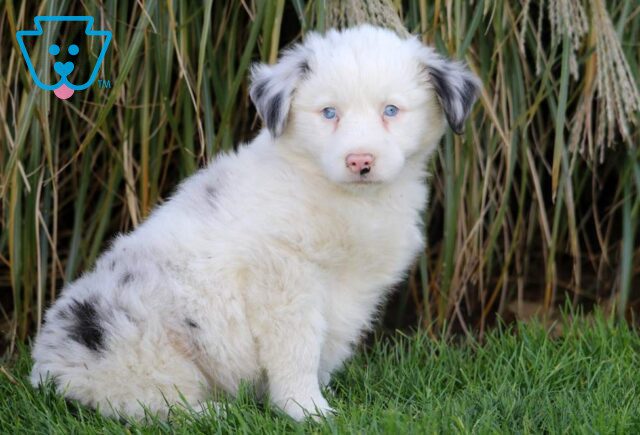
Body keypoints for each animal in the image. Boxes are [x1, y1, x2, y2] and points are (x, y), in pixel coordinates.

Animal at [31, 24, 480, 422]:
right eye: (328, 113)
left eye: (391, 111)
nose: (360, 161)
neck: (342, 194)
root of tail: (47, 371)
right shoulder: (284, 277)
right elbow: (298, 349)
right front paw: (307, 411)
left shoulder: (353, 291)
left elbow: (327, 344)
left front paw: (315, 398)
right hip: (141, 345)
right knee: (143, 401)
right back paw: (214, 413)